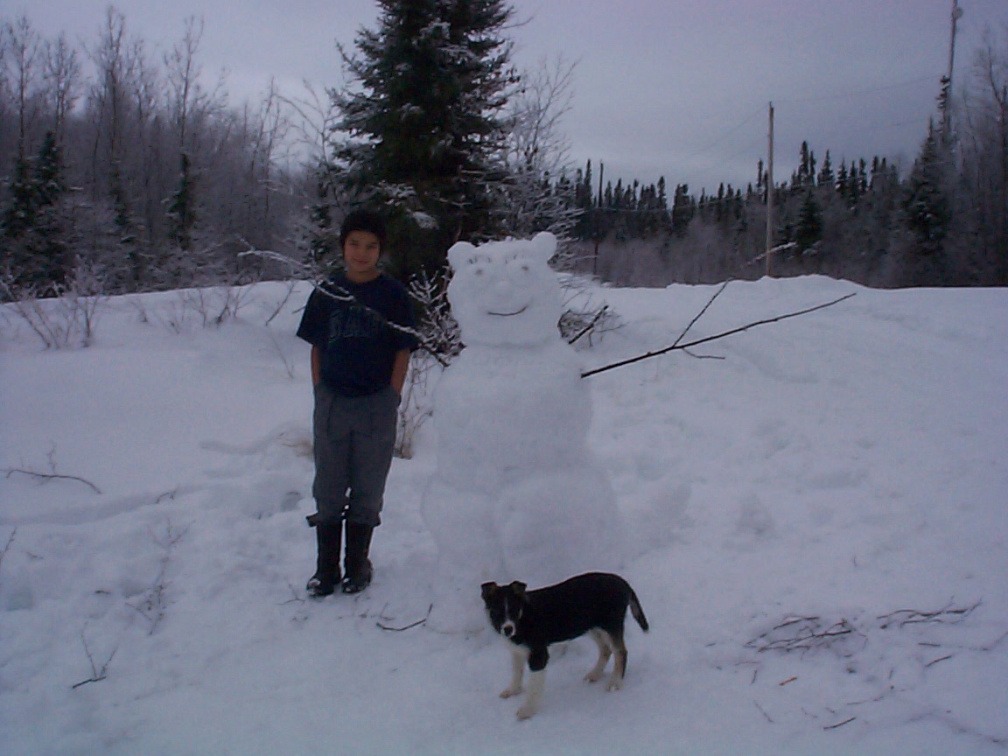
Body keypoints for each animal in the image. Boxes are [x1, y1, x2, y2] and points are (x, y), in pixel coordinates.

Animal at [481, 572, 653, 721]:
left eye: (514, 610)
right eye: (496, 611)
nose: (507, 629)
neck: (523, 618)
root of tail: (624, 583)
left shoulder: (539, 654)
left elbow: (534, 686)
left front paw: (527, 710)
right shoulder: (517, 652)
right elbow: (517, 672)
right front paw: (513, 690)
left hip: (611, 624)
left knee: (620, 652)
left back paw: (615, 682)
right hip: (591, 626)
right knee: (606, 649)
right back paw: (595, 674)